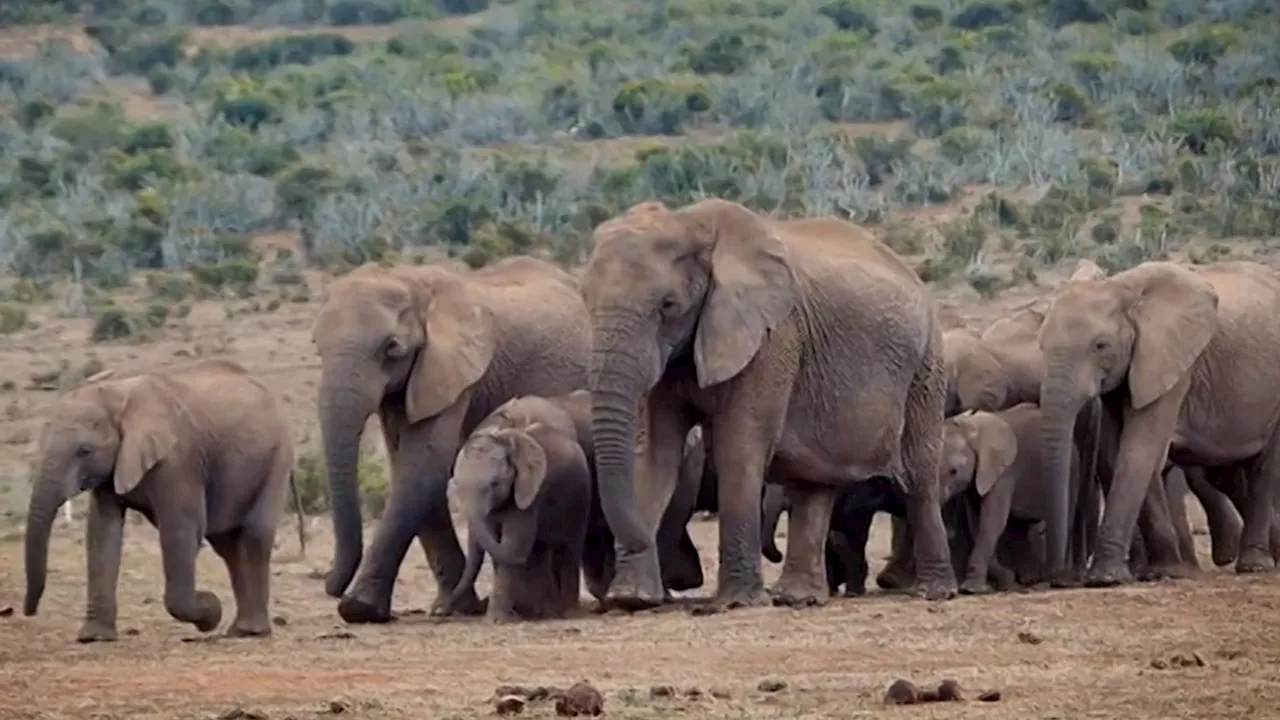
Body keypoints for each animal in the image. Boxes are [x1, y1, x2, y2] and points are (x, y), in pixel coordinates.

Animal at [22, 358, 296, 638]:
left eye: (84, 451)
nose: (28, 612)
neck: (118, 396)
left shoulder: (177, 461)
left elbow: (180, 532)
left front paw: (210, 611)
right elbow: (103, 532)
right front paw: (94, 637)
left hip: (276, 457)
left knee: (254, 535)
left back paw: (251, 631)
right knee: (228, 545)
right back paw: (239, 630)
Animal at [448, 394, 591, 620]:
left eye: (495, 484)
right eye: (458, 486)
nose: (437, 610)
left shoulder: (530, 494)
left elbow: (512, 548)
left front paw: (496, 620)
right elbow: (502, 548)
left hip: (580, 495)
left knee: (569, 549)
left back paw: (566, 613)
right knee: (540, 550)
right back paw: (544, 612)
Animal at [578, 194, 952, 604]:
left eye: (668, 305)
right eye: (586, 301)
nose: (638, 543)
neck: (691, 224)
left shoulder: (772, 337)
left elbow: (739, 446)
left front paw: (736, 602)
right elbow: (656, 453)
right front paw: (631, 598)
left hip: (926, 364)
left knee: (918, 474)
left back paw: (933, 591)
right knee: (814, 477)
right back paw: (797, 598)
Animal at [1034, 257, 1280, 584]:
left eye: (1100, 345)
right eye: (1041, 346)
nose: (1060, 579)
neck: (1121, 291)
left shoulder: (1170, 363)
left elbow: (1139, 450)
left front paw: (1108, 578)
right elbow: (1116, 454)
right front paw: (1162, 572)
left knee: (1264, 469)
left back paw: (1254, 565)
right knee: (1227, 475)